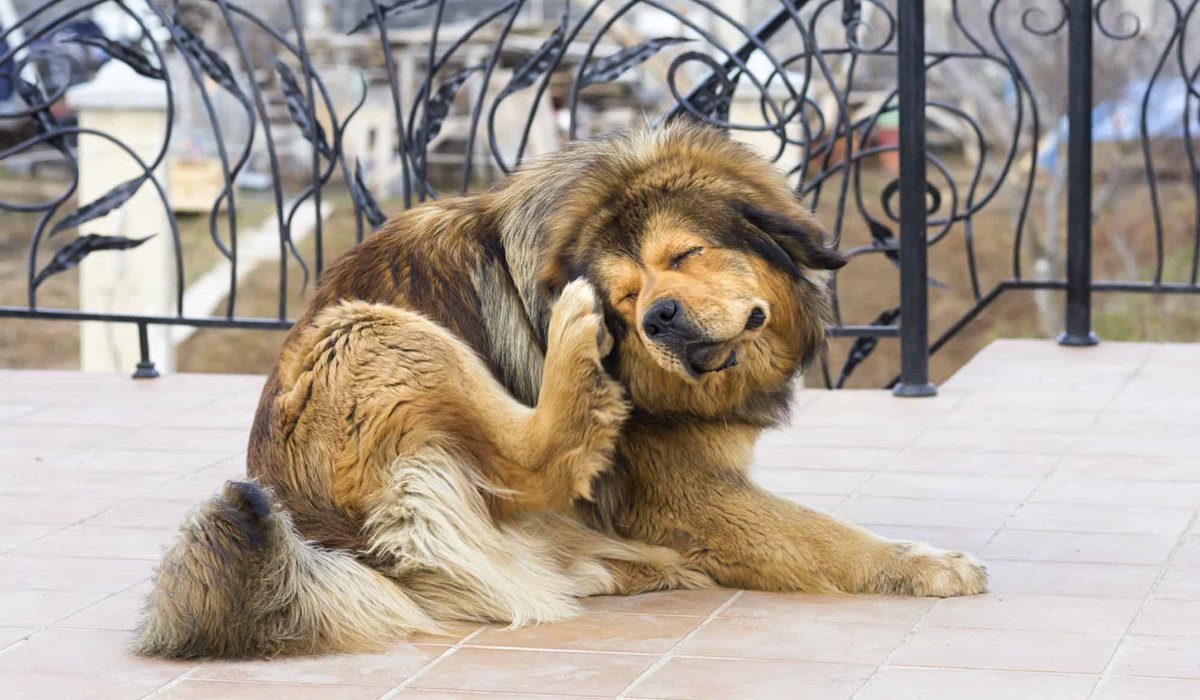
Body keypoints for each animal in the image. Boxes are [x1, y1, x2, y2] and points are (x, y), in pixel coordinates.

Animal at [136, 123, 988, 657]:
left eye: (683, 255)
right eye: (625, 295)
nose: (656, 318)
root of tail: (317, 537)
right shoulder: (686, 492)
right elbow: (827, 537)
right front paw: (926, 566)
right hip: (370, 330)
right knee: (533, 462)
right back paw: (574, 358)